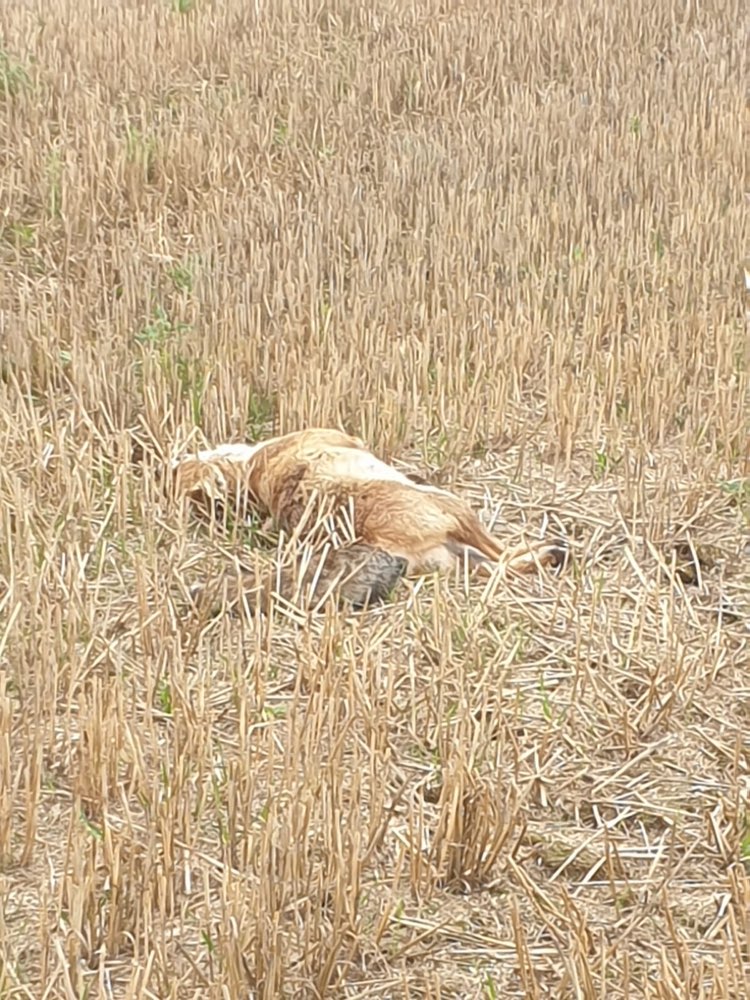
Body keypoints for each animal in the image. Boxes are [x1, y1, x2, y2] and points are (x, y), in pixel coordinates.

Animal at [172, 427, 568, 613]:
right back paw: (552, 549)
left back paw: (548, 554)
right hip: (454, 508)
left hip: (459, 559)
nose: (170, 464)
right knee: (504, 554)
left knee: (502, 567)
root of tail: (381, 544)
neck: (248, 472)